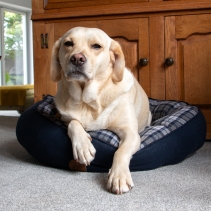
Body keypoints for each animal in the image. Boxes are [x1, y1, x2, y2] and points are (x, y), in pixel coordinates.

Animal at [50, 26, 151, 195]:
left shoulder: (131, 133)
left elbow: (120, 152)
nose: (77, 58)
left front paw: (119, 177)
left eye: (96, 46)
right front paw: (83, 147)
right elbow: (74, 124)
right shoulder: (66, 119)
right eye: (68, 43)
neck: (88, 101)